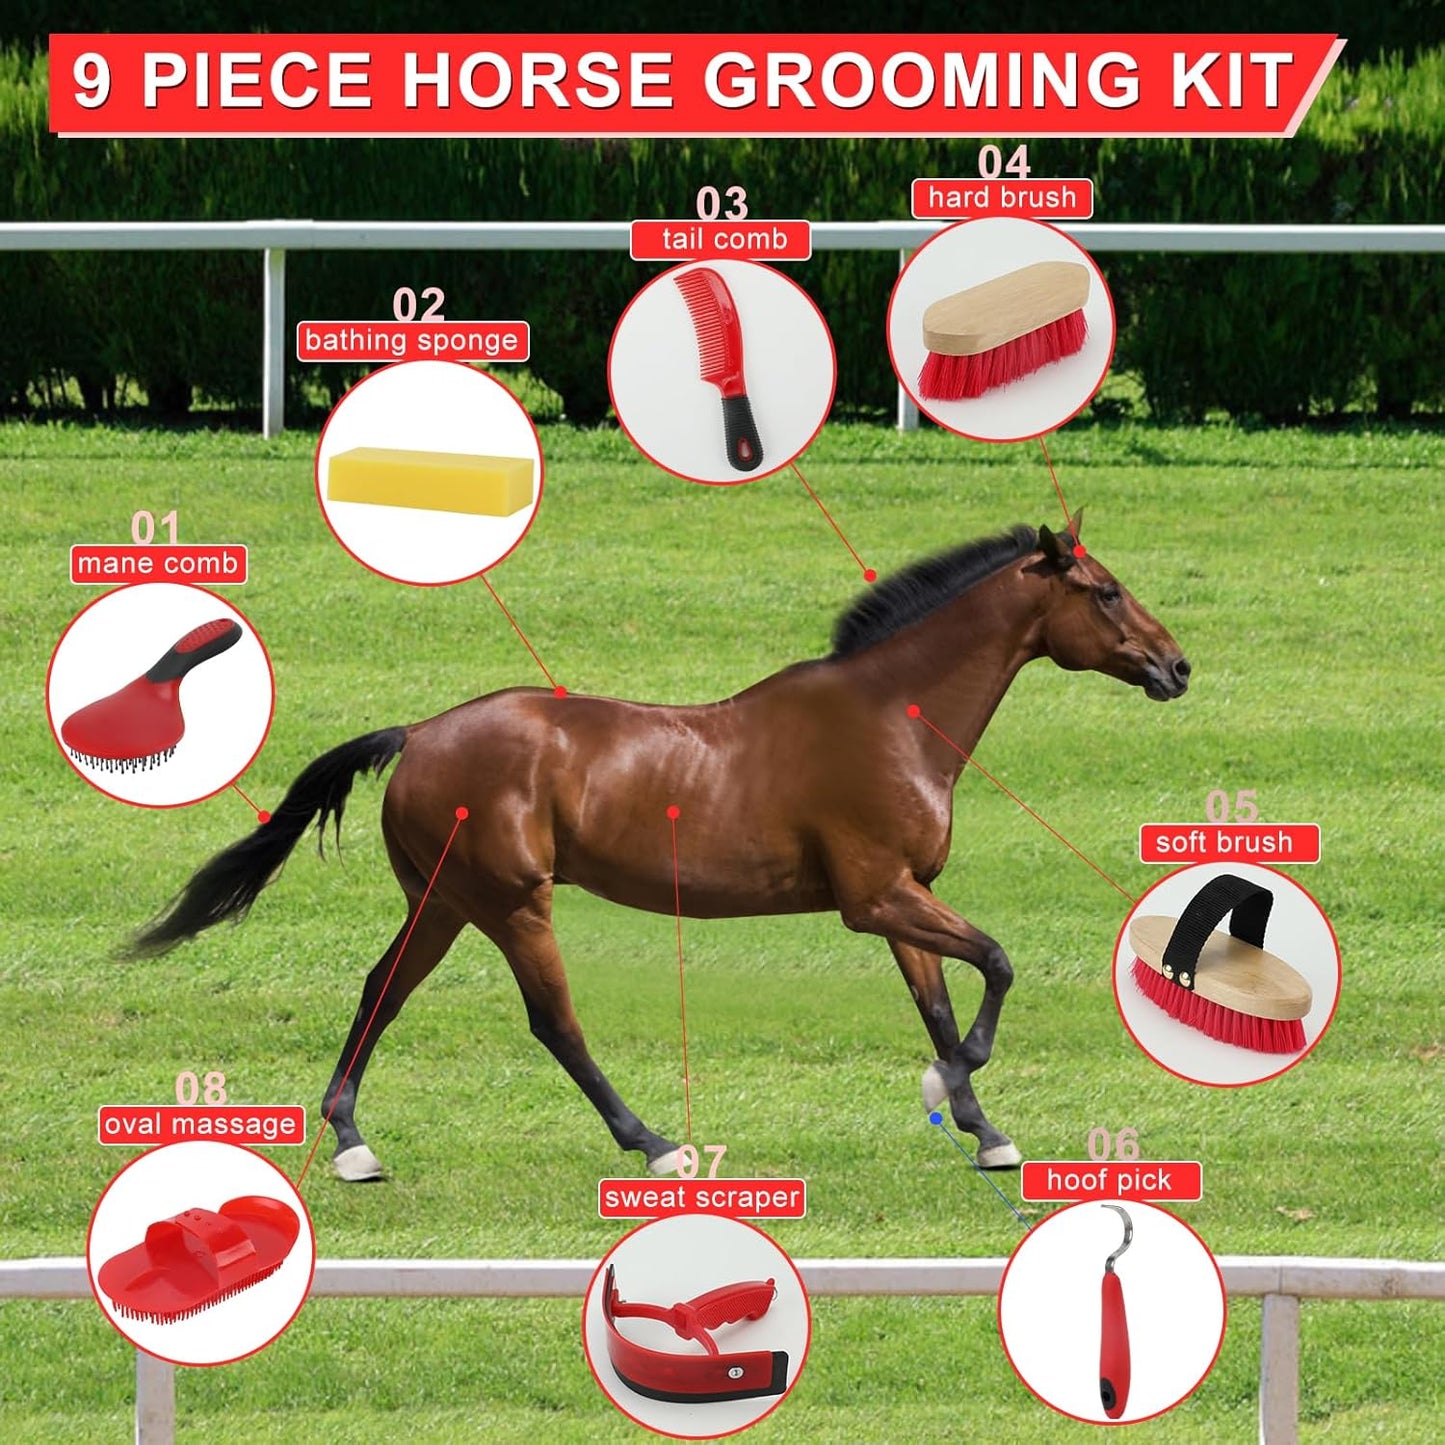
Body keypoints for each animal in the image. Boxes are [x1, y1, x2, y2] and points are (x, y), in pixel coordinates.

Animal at [131, 516, 1189, 1181]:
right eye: (1104, 593)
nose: (1176, 667)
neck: (891, 718)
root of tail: (420, 733)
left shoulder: (903, 896)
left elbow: (937, 1003)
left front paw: (981, 1129)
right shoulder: (874, 896)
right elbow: (997, 966)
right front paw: (956, 1087)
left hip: (445, 902)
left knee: (380, 990)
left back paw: (353, 1143)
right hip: (510, 902)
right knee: (552, 1022)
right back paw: (652, 1142)